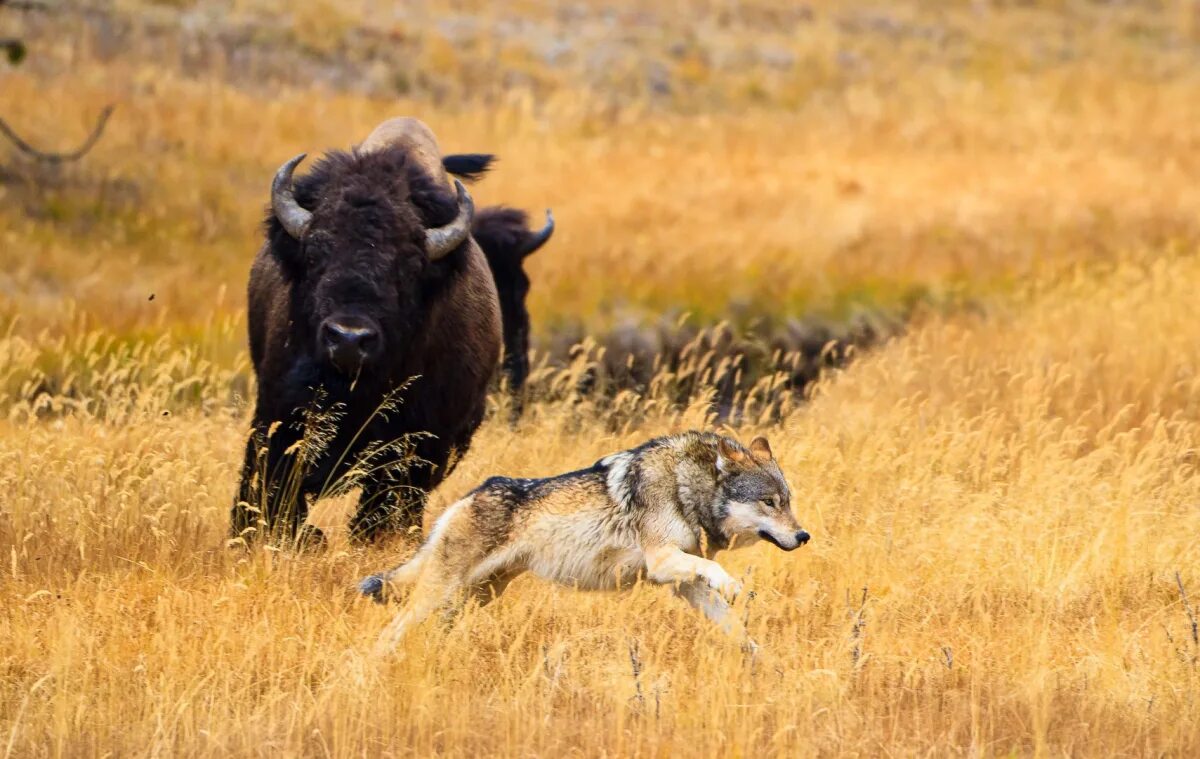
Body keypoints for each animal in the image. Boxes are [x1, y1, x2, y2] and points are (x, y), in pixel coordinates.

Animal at [352, 429, 806, 653]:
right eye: (769, 502)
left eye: (788, 501)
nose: (804, 536)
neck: (684, 485)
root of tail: (466, 497)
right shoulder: (662, 562)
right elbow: (714, 569)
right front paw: (733, 585)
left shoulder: (682, 582)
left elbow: (733, 627)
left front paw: (764, 662)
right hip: (441, 594)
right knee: (390, 631)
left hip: (470, 597)